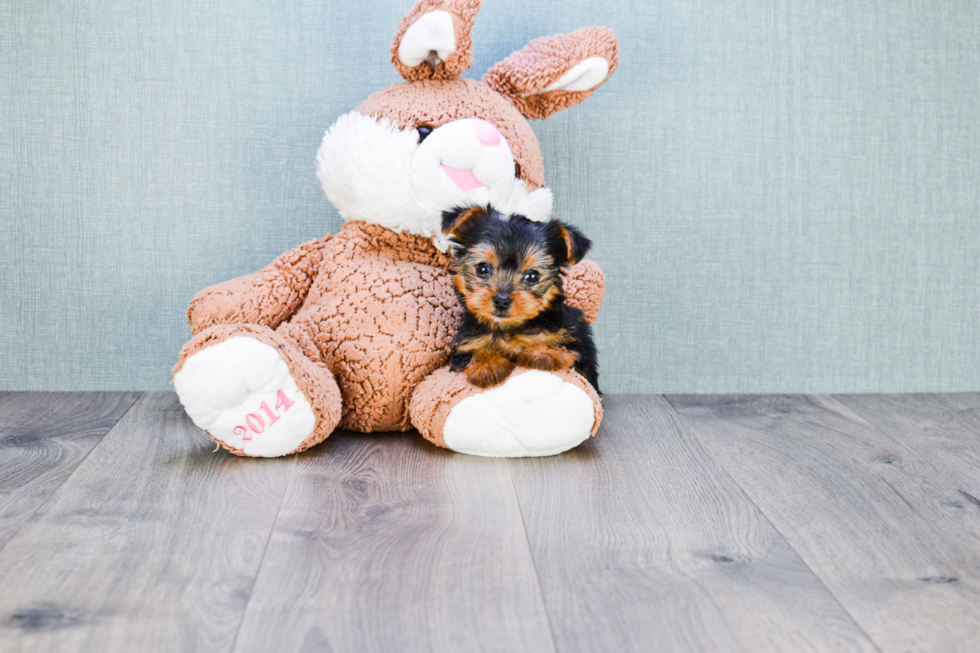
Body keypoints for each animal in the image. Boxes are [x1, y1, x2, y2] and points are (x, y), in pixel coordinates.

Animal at [442, 206, 596, 390]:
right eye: (483, 268)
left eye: (532, 276)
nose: (502, 300)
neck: (510, 328)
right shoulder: (465, 345)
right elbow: (476, 348)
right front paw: (487, 364)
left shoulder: (576, 341)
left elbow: (562, 345)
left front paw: (544, 352)